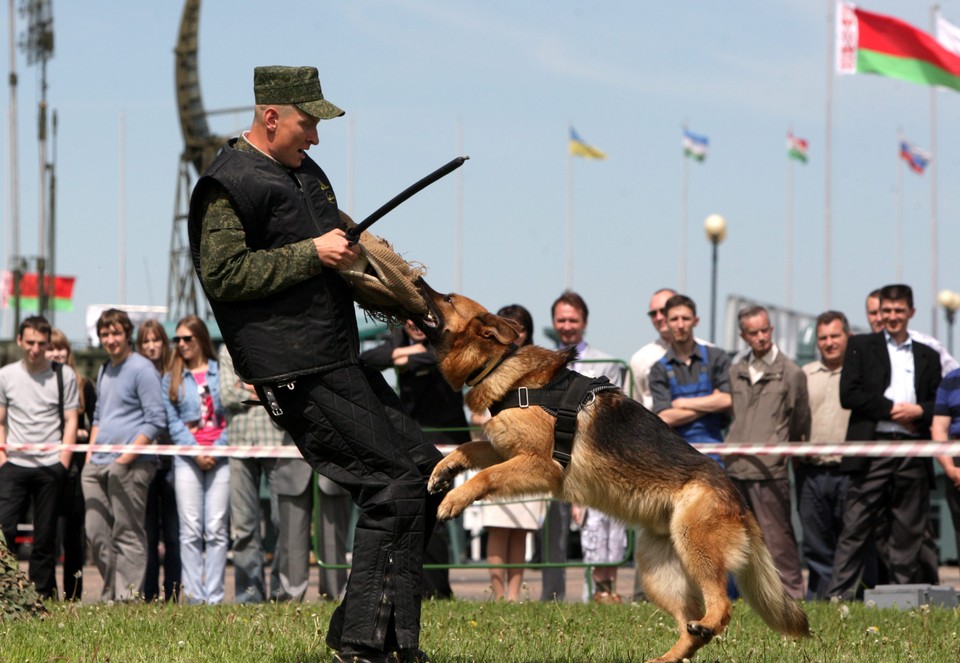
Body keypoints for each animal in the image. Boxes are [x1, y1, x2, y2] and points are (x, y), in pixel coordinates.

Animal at [412, 280, 808, 663]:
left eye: (447, 298)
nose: (418, 281)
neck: (501, 365)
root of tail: (741, 503)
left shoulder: (540, 465)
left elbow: (486, 476)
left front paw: (454, 499)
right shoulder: (504, 449)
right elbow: (468, 450)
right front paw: (443, 470)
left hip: (696, 547)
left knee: (722, 607)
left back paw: (707, 625)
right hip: (656, 570)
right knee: (690, 622)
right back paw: (669, 656)